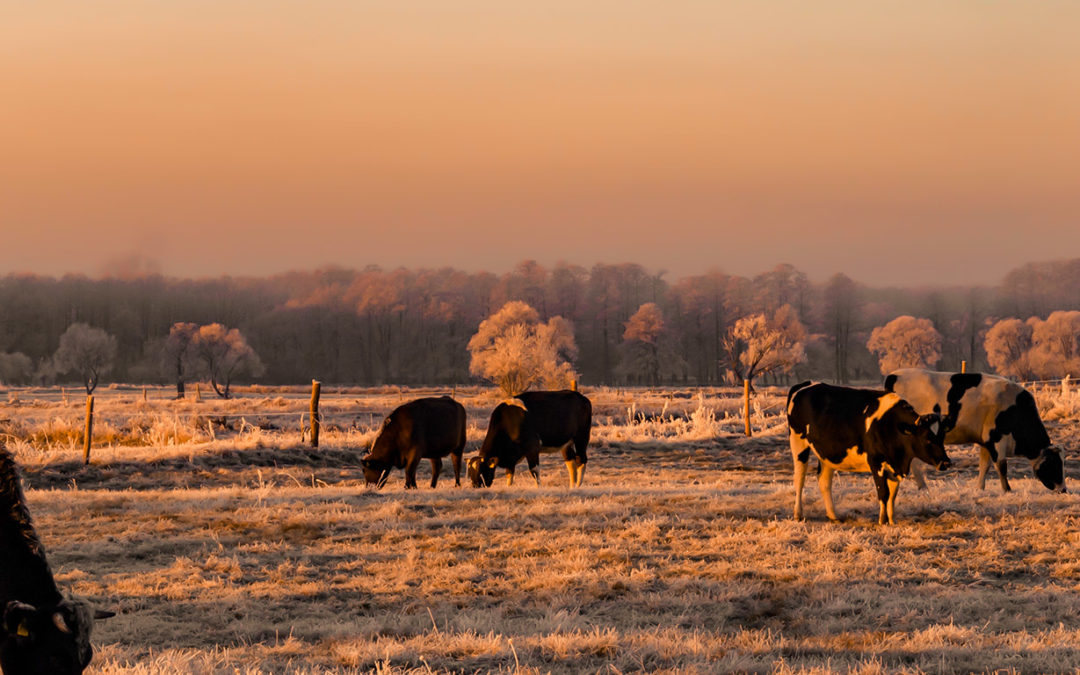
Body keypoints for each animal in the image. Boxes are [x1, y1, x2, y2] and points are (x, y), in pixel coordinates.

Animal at [468, 388, 596, 490]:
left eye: (481, 471)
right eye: (470, 473)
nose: (475, 486)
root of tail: (581, 397)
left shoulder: (532, 448)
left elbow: (534, 471)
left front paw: (538, 488)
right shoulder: (511, 458)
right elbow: (509, 475)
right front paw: (508, 488)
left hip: (582, 436)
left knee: (581, 460)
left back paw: (578, 485)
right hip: (566, 443)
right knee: (571, 463)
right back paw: (572, 486)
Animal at [786, 382, 954, 524]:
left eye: (942, 438)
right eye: (927, 440)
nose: (946, 462)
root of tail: (805, 385)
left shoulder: (894, 465)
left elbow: (893, 495)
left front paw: (892, 521)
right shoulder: (876, 462)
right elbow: (883, 493)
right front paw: (882, 521)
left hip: (827, 453)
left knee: (824, 481)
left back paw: (833, 516)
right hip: (798, 442)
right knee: (799, 479)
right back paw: (798, 514)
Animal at [881, 369, 1067, 490]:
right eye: (1054, 464)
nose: (1064, 489)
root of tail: (894, 375)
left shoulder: (985, 441)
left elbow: (984, 465)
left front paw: (979, 489)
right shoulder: (996, 438)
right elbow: (1002, 466)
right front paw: (1007, 490)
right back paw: (923, 487)